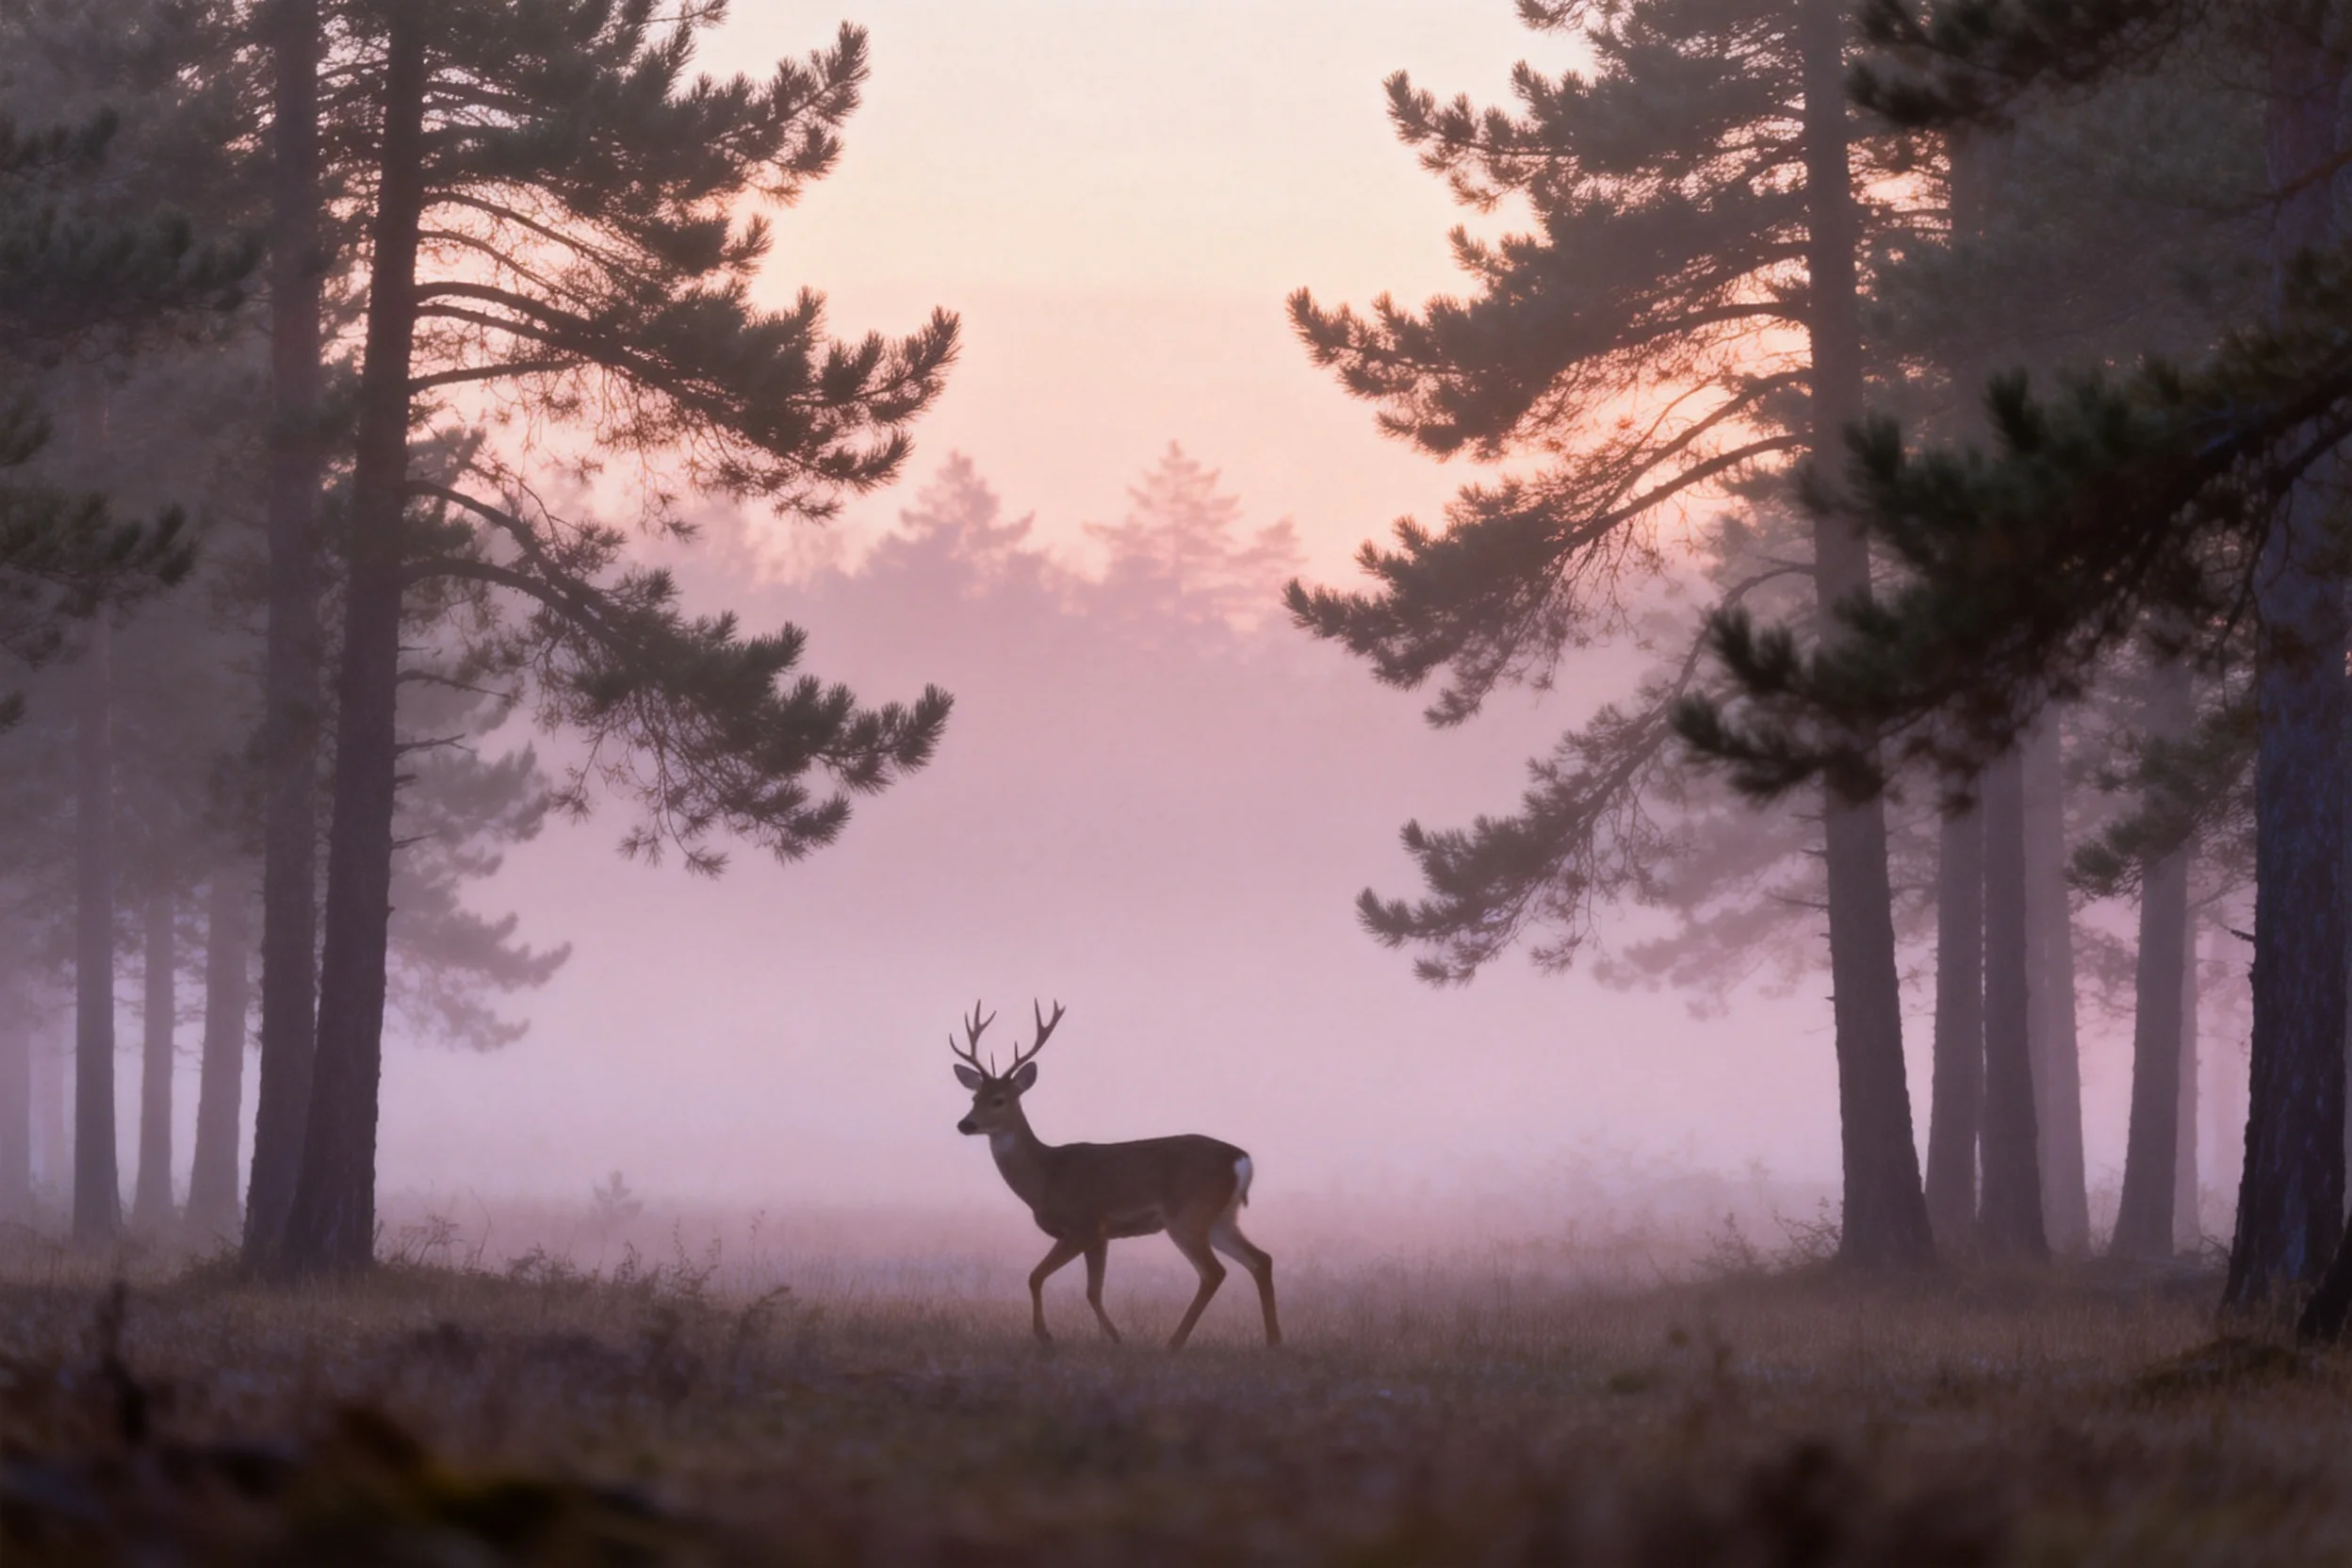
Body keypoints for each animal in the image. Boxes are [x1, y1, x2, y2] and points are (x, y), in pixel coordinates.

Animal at [950, 1000, 1280, 1349]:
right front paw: (1112, 1339)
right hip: (1221, 1217)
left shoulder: (1084, 1225)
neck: (1046, 1176)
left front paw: (1047, 1336)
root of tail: (1240, 1159)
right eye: (974, 1097)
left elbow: (1036, 1277)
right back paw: (1274, 1340)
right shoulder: (1102, 1235)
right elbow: (1093, 1291)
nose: (965, 1124)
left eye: (999, 1100)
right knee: (1261, 1260)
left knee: (1214, 1272)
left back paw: (1173, 1343)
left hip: (1189, 1215)